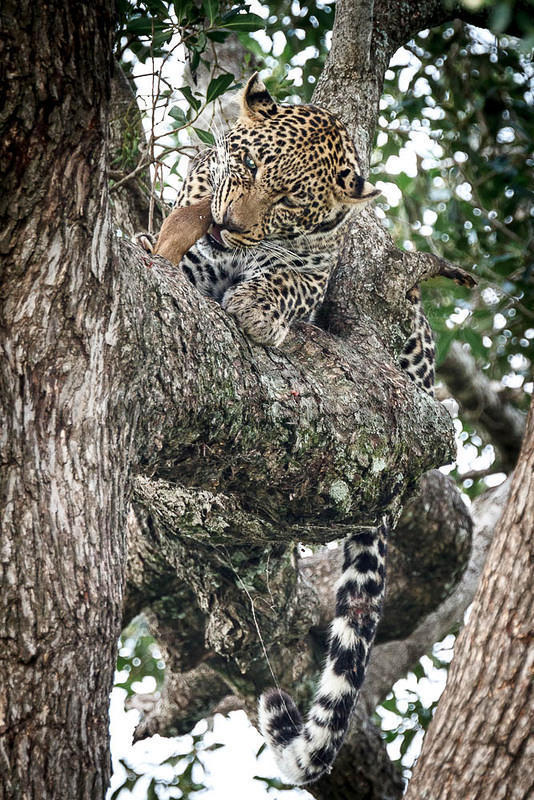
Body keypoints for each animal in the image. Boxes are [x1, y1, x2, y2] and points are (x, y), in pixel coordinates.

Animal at [139, 72, 440, 784]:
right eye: (247, 167)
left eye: (287, 202)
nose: (228, 225)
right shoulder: (194, 248)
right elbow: (176, 255)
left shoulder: (307, 272)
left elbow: (281, 278)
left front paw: (255, 305)